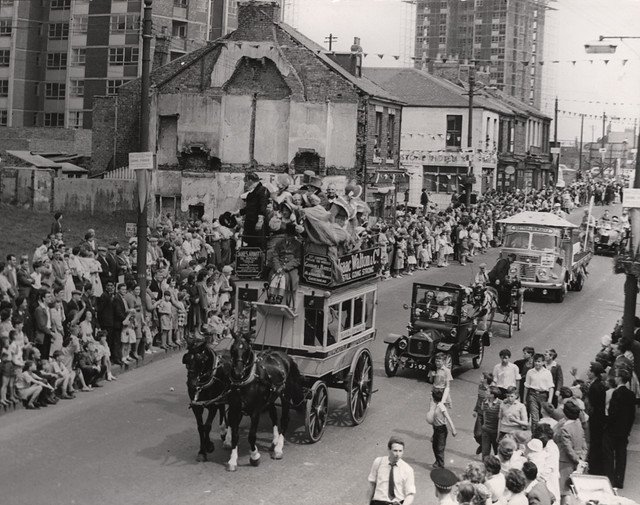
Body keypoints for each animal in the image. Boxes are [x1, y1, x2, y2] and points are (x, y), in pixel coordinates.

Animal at [225, 332, 304, 470]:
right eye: (233, 349)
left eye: (246, 349)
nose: (238, 372)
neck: (245, 382)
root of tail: (285, 355)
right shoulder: (235, 409)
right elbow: (235, 435)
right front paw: (233, 460)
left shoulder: (255, 411)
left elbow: (252, 436)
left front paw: (254, 456)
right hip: (271, 396)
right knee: (273, 414)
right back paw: (275, 440)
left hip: (286, 395)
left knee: (284, 419)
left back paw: (278, 448)